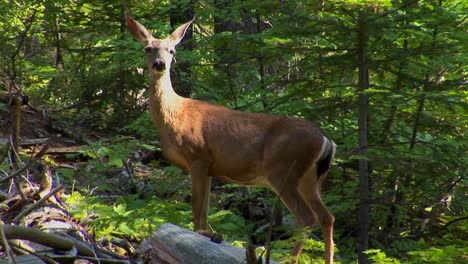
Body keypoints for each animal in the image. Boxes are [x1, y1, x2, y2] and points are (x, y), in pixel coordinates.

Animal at [124, 14, 336, 264]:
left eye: (171, 50)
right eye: (148, 48)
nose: (160, 64)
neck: (175, 116)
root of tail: (326, 139)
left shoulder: (198, 156)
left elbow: (197, 213)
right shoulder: (209, 167)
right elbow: (203, 216)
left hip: (283, 170)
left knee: (307, 217)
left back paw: (289, 259)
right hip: (310, 177)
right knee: (327, 216)